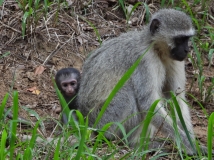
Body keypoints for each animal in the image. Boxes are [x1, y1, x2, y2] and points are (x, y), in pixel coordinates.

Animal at [77, 9, 205, 155]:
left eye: (187, 39)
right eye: (179, 39)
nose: (187, 50)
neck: (155, 47)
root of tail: (87, 120)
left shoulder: (175, 60)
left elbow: (177, 99)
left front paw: (191, 140)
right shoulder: (144, 59)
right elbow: (148, 102)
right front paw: (191, 146)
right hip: (103, 121)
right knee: (128, 93)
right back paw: (133, 143)